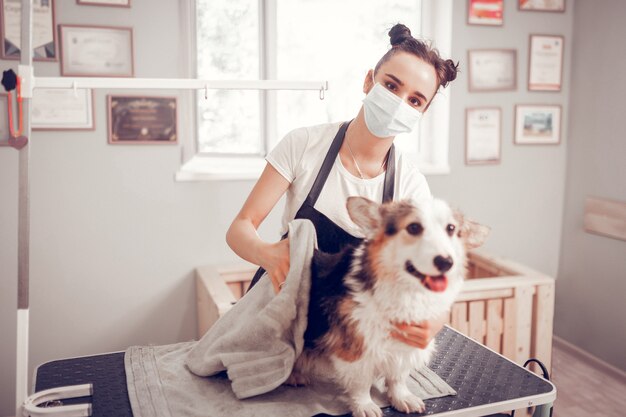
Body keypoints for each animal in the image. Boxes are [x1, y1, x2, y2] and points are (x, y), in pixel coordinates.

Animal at [288, 196, 488, 416]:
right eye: (414, 227)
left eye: (451, 228)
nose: (446, 262)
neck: (406, 290)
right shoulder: (357, 346)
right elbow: (361, 382)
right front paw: (364, 405)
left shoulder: (406, 346)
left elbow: (398, 376)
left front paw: (402, 398)